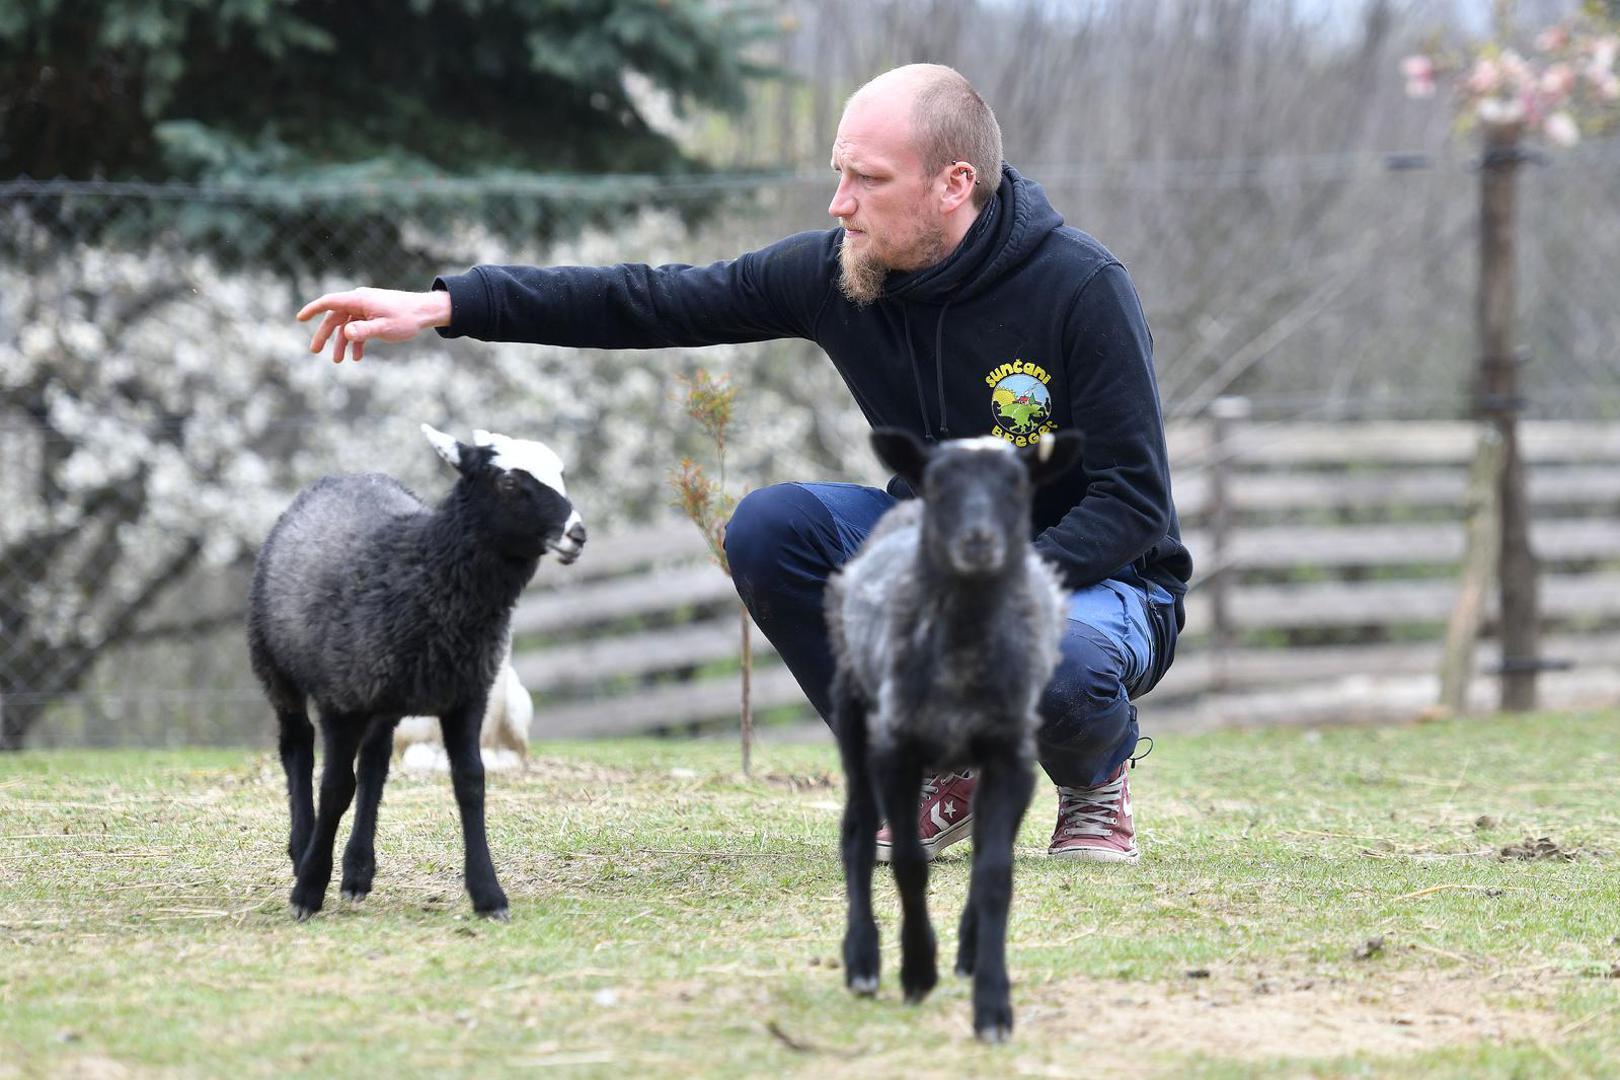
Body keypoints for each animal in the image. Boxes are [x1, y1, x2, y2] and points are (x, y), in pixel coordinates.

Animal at [247, 420, 589, 919]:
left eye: (561, 474)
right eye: (508, 482)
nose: (577, 533)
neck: (424, 572)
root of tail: (346, 475)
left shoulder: (467, 696)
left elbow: (471, 783)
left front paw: (488, 894)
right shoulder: (340, 701)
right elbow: (334, 788)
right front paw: (308, 889)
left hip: (385, 696)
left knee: (373, 766)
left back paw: (358, 871)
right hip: (277, 668)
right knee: (297, 748)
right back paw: (303, 848)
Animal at [829, 427, 1082, 1042]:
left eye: (1017, 484)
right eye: (941, 483)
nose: (979, 541)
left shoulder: (1011, 758)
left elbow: (994, 874)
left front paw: (992, 1004)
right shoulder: (896, 750)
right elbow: (908, 863)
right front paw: (918, 969)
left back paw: (966, 951)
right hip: (854, 716)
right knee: (856, 830)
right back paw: (863, 961)